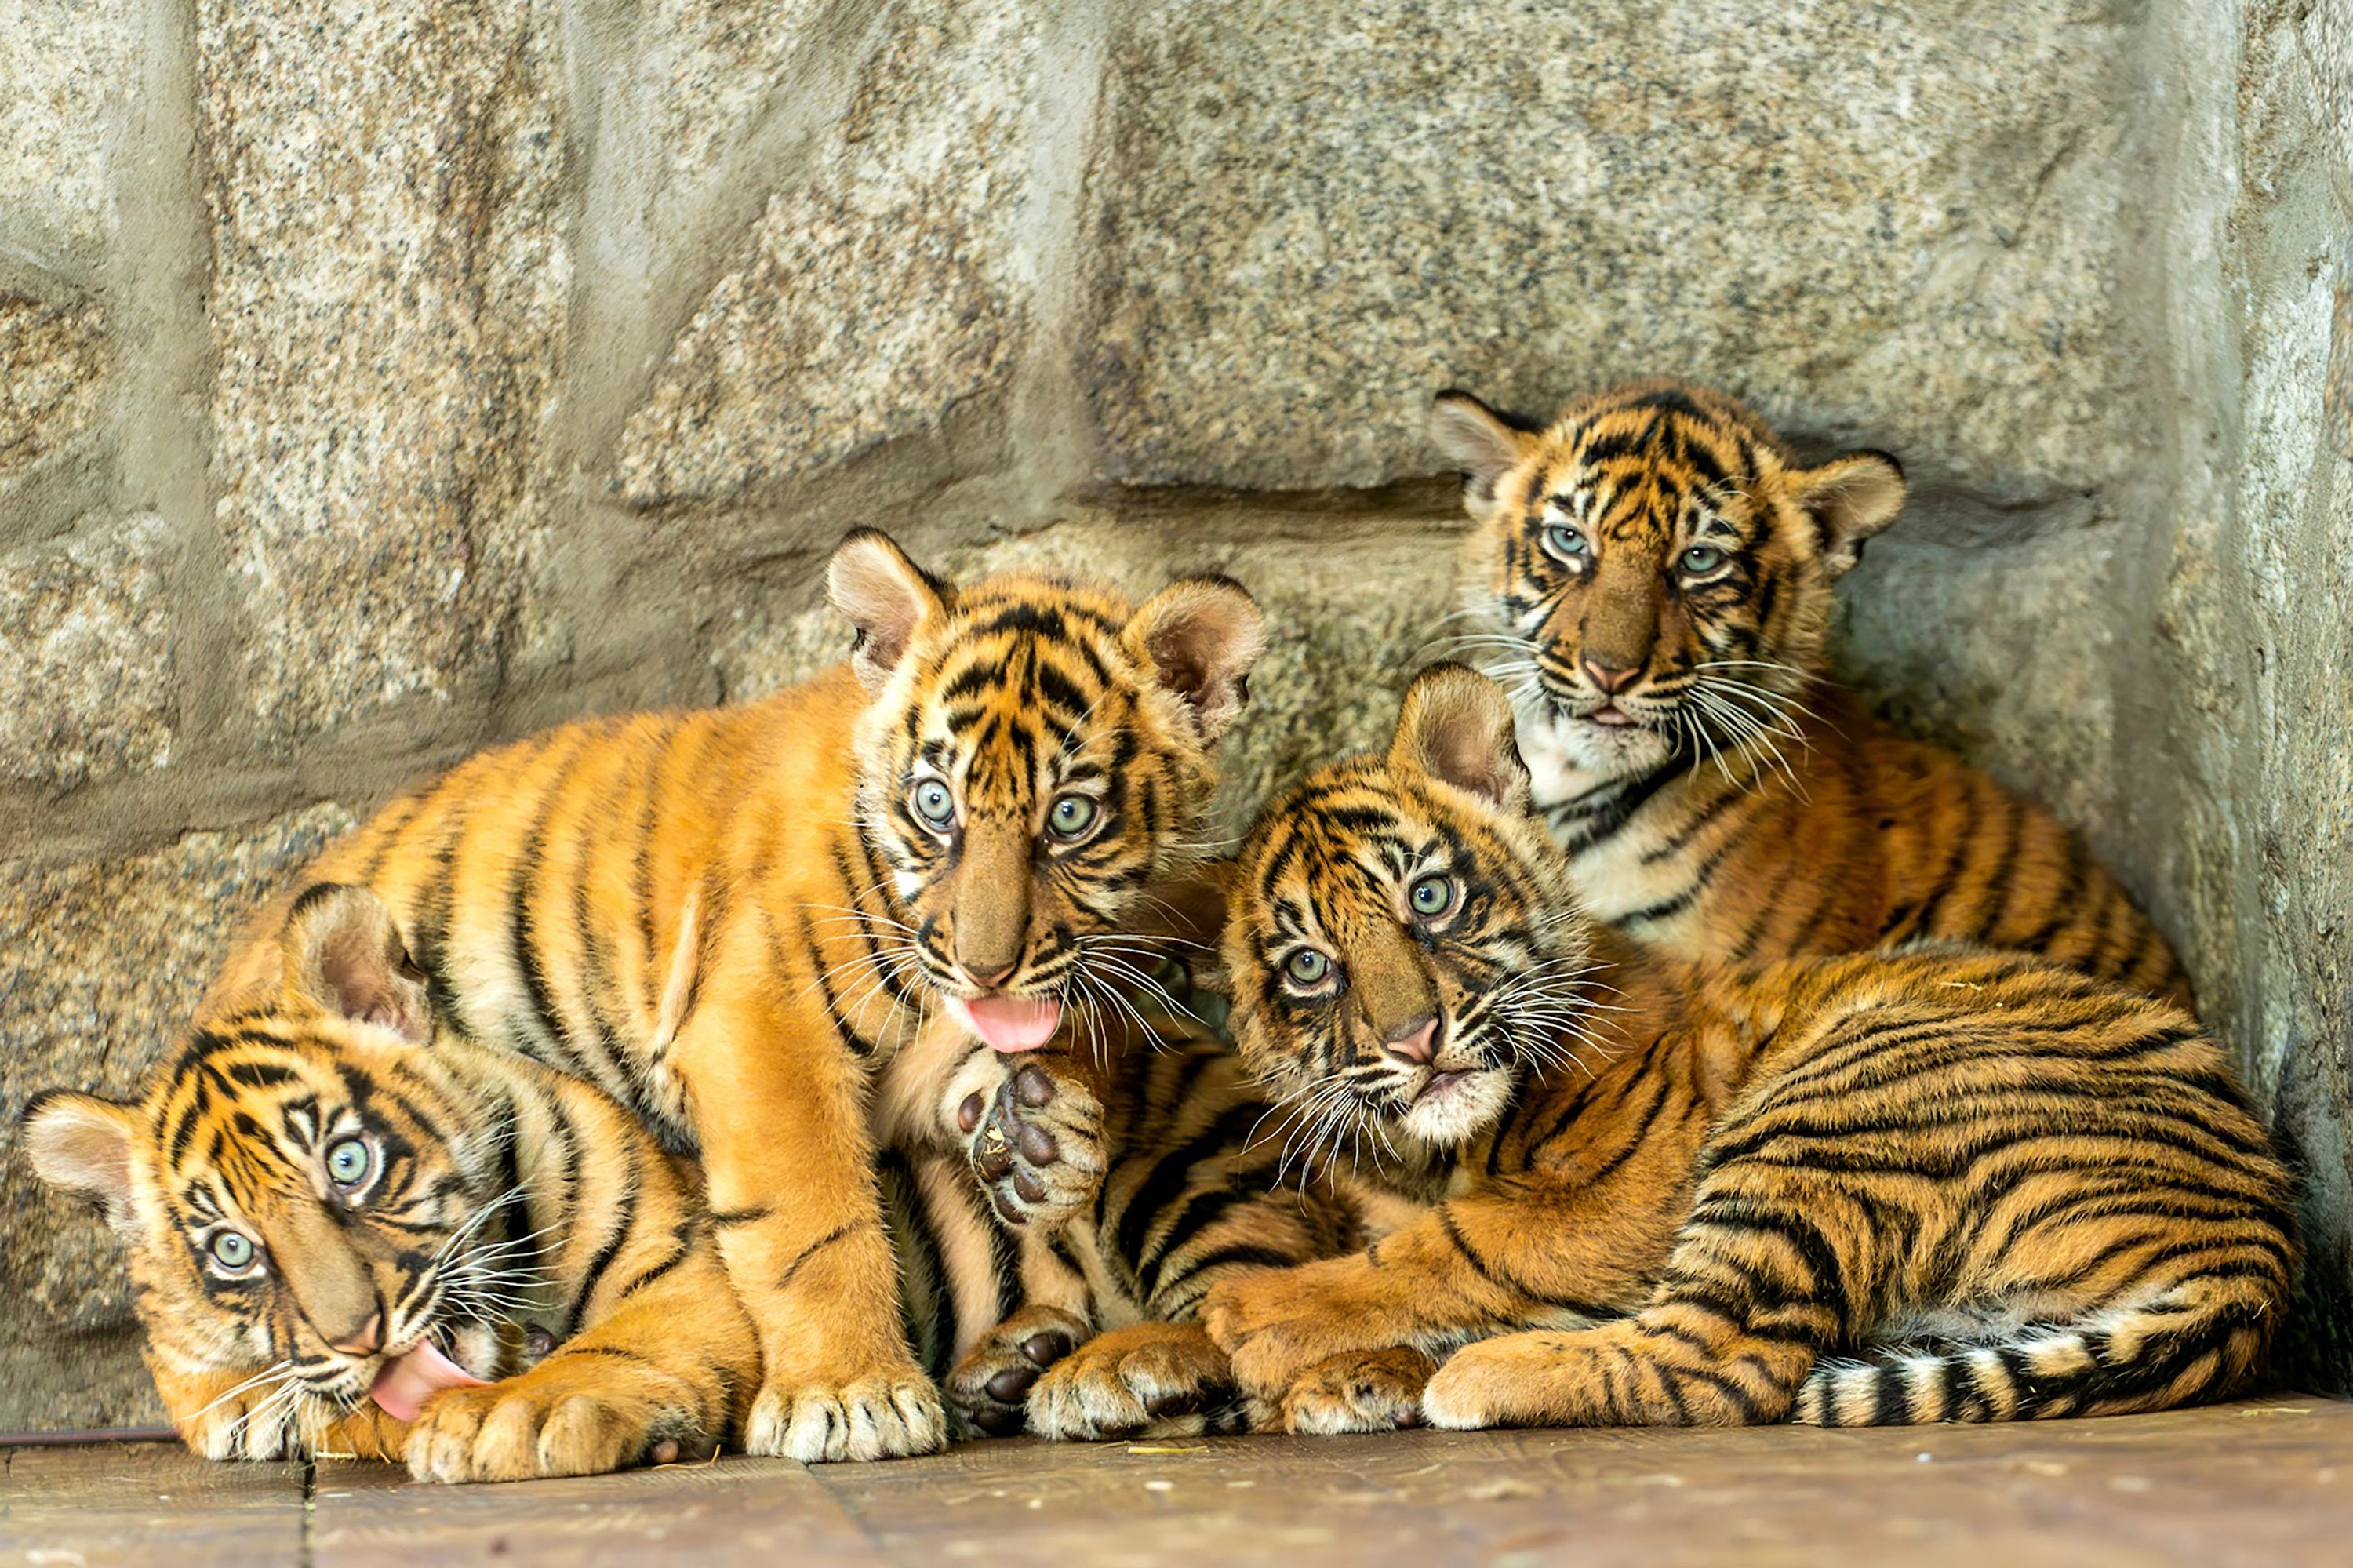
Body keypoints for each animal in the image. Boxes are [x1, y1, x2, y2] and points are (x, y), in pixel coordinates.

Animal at [22, 884, 760, 1483]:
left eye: (348, 1162)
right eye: (233, 1250)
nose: (360, 1339)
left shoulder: (682, 1267)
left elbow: (618, 1341)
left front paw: (515, 1415)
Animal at [185, 527, 1265, 1461]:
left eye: (1071, 817)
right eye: (936, 806)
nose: (987, 963)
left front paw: (1051, 1130)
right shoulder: (763, 1024)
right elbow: (812, 1222)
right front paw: (852, 1398)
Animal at [1199, 664, 2296, 1431]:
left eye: (1430, 898)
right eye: (1309, 965)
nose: (1414, 1038)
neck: (1427, 1152)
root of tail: (2258, 1248)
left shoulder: (1625, 1193)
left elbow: (1452, 1244)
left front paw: (1253, 1316)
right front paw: (1344, 1378)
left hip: (1838, 1099)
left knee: (1724, 1361)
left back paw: (1472, 1377)